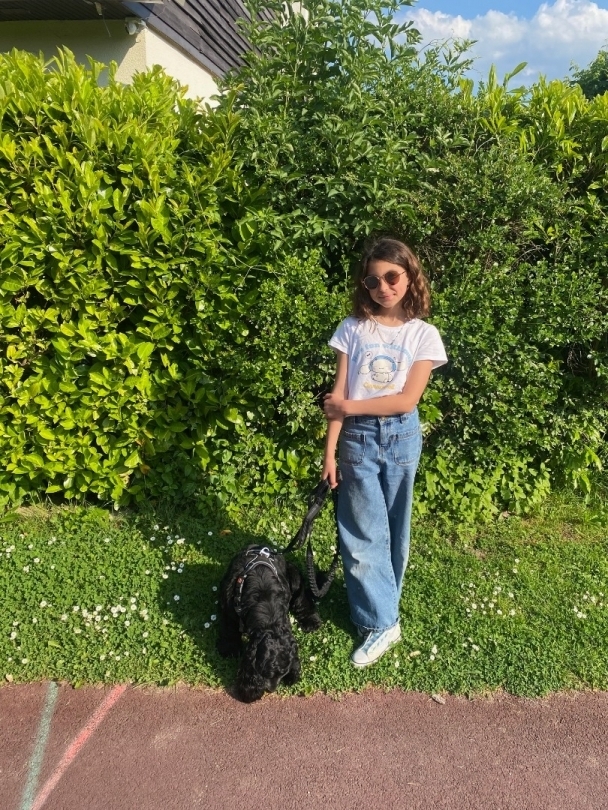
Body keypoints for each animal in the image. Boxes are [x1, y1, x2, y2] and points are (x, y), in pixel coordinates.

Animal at [216, 545, 322, 702]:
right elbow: (229, 627)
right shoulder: (228, 603)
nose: (270, 689)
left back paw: (311, 621)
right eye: (266, 672)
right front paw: (229, 649)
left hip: (294, 576)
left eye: (283, 673)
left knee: (302, 599)